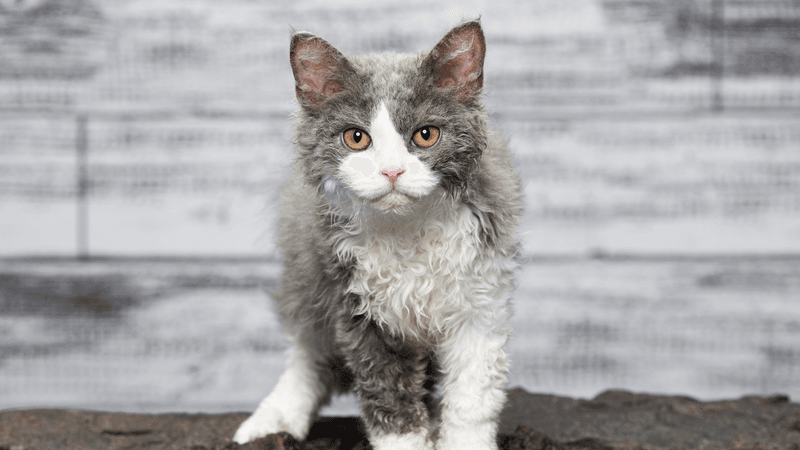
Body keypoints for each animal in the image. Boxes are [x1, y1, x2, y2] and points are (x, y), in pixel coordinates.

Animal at [234, 19, 520, 450]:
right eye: (356, 138)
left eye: (425, 135)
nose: (391, 171)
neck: (408, 231)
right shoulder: (357, 307)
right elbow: (389, 399)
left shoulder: (481, 300)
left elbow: (473, 398)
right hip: (307, 275)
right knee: (309, 351)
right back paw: (274, 418)